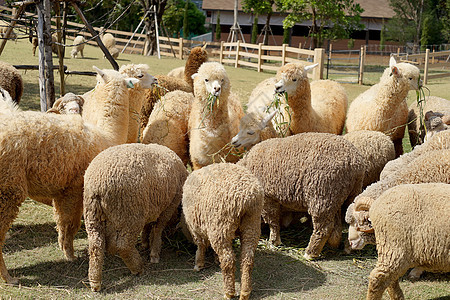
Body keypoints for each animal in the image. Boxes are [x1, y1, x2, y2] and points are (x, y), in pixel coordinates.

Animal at [0, 65, 140, 284]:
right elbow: (71, 224)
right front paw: (70, 255)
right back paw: (9, 278)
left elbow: (62, 223)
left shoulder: (62, 190)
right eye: (97, 81)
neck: (106, 135)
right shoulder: (74, 189)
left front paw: (65, 250)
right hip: (8, 189)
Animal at [83, 144, 187, 292]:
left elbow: (149, 226)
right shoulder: (169, 205)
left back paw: (95, 282)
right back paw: (138, 268)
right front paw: (154, 253)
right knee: (123, 246)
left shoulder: (152, 206)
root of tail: (98, 185)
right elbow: (158, 228)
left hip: (92, 215)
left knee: (95, 246)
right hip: (130, 215)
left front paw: (144, 242)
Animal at [181, 164, 264, 300]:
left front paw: (199, 265)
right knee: (247, 259)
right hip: (252, 224)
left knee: (228, 260)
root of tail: (246, 198)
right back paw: (245, 292)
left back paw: (229, 292)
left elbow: (200, 246)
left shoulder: (196, 228)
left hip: (220, 227)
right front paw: (215, 259)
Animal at [236, 132, 366, 258]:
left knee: (323, 229)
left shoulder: (268, 198)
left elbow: (272, 221)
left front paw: (274, 241)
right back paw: (342, 246)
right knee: (348, 223)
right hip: (343, 196)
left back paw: (311, 252)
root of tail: (355, 164)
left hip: (322, 197)